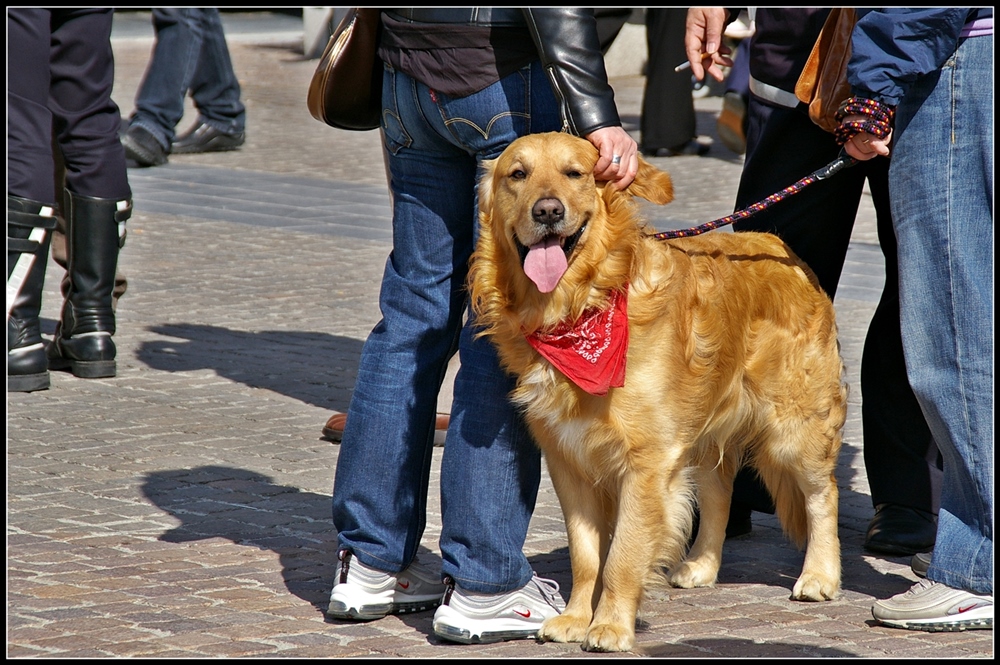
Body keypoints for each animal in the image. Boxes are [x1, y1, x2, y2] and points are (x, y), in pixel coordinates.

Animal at [472, 132, 848, 652]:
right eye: (518, 174)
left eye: (575, 173)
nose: (547, 211)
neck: (582, 305)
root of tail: (783, 251)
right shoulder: (569, 461)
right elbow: (586, 556)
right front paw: (575, 617)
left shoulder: (647, 461)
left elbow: (622, 555)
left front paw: (609, 626)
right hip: (703, 430)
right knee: (719, 491)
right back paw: (703, 566)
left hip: (795, 428)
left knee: (822, 494)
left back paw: (820, 575)